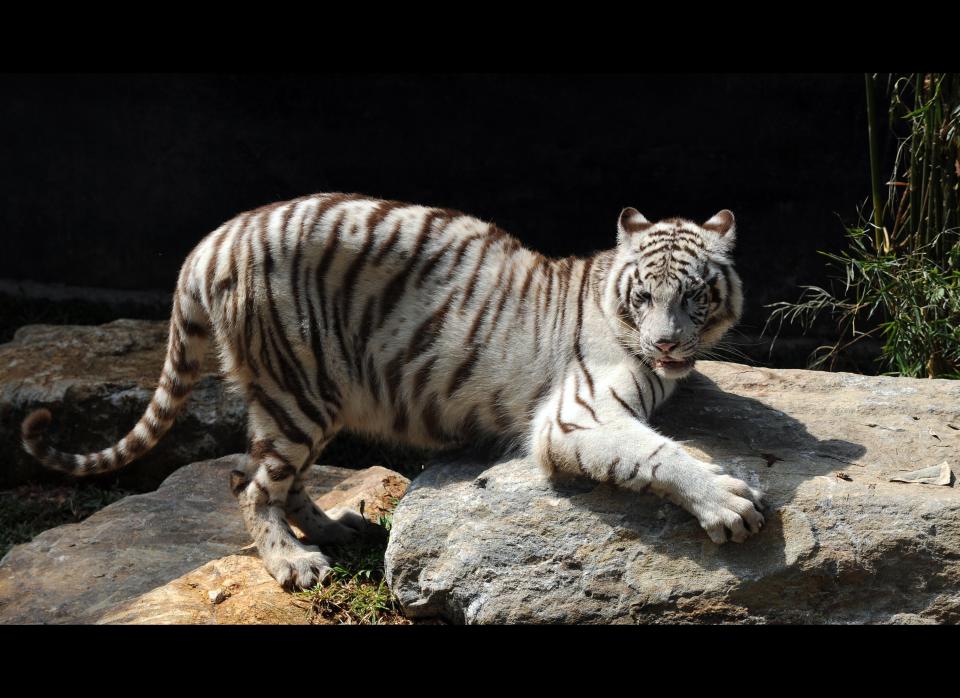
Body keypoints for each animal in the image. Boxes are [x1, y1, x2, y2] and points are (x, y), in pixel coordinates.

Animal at [20, 193, 764, 588]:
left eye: (694, 296)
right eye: (643, 297)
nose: (666, 345)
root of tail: (209, 244)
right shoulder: (574, 417)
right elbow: (654, 453)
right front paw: (728, 503)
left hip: (301, 396)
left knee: (276, 478)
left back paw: (340, 528)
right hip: (299, 389)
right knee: (250, 484)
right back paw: (295, 563)